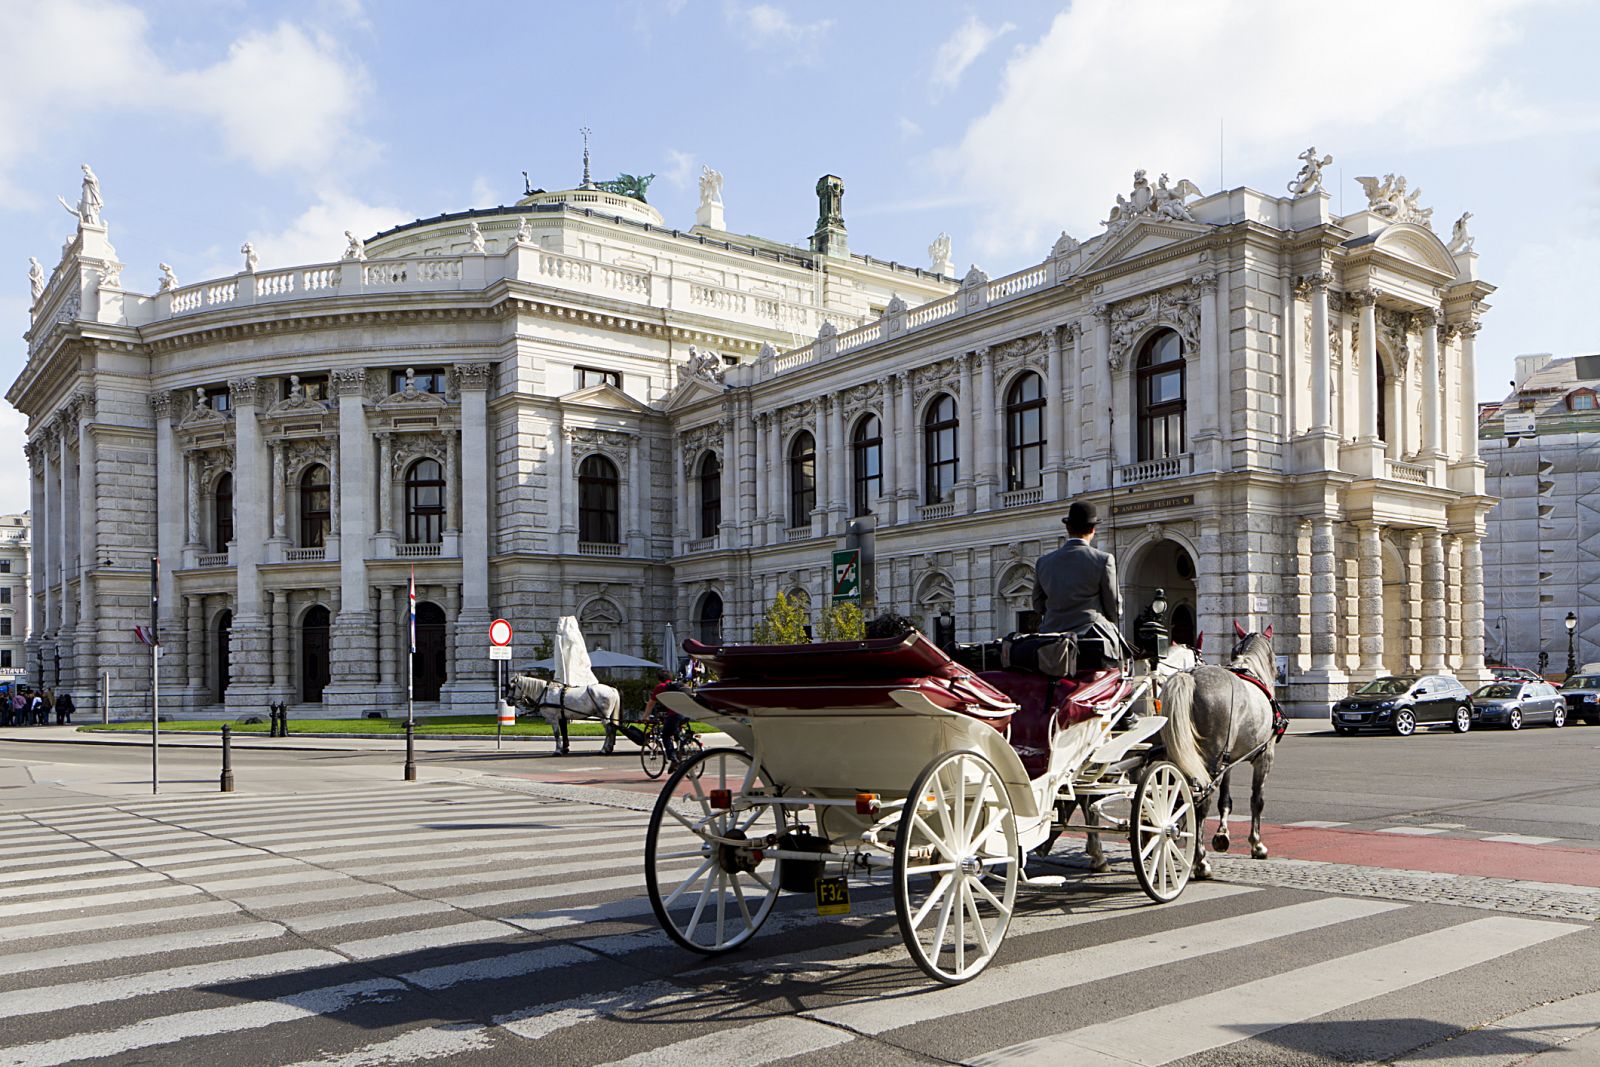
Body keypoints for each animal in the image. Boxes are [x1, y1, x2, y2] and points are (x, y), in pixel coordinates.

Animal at [1158, 620, 1280, 883]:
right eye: (1275, 657)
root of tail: (1189, 677)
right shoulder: (1264, 756)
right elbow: (1257, 800)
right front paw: (1257, 845)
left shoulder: (1228, 760)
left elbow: (1226, 801)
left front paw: (1222, 835)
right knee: (1199, 803)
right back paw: (1200, 862)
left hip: (1184, 756)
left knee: (1179, 799)